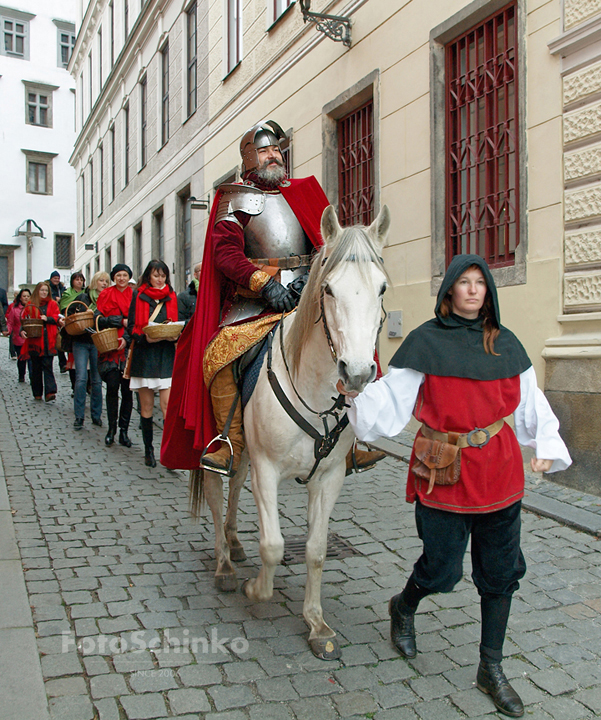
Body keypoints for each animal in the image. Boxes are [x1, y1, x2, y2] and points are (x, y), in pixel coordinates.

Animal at [197, 202, 390, 660]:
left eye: (382, 289)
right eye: (330, 289)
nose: (357, 373)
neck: (315, 391)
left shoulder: (329, 477)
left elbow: (316, 550)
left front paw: (316, 624)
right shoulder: (268, 470)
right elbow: (273, 545)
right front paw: (256, 589)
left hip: (245, 452)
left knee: (235, 484)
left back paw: (234, 544)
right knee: (216, 490)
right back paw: (225, 565)